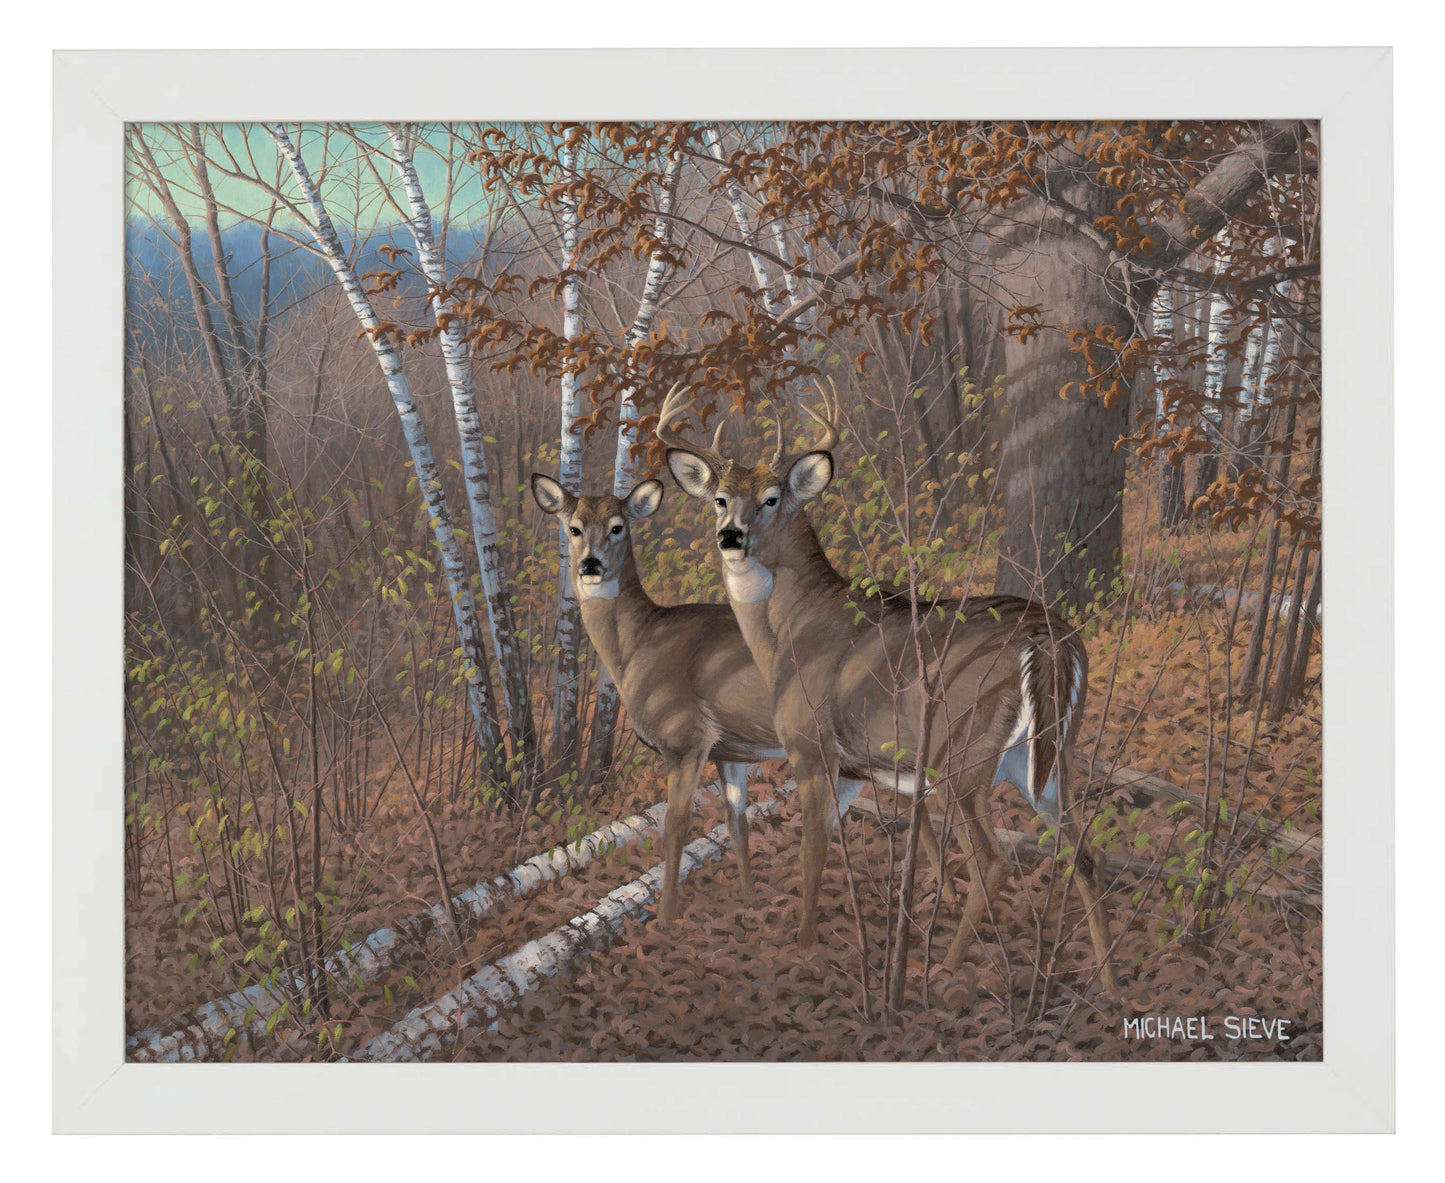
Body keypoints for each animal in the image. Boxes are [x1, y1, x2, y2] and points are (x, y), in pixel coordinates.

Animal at [530, 469, 961, 928]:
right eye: (573, 528)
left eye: (617, 526)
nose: (590, 564)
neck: (636, 645)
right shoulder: (729, 750)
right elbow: (736, 822)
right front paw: (751, 902)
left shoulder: (686, 736)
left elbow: (675, 826)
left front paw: (665, 920)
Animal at [658, 383, 1116, 994]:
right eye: (719, 498)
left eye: (773, 498)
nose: (731, 536)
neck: (790, 633)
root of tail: (1052, 642)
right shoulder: (861, 768)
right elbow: (873, 846)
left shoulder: (811, 746)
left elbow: (812, 851)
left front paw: (804, 946)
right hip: (1048, 758)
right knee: (1088, 855)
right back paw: (1108, 984)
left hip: (962, 753)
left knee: (995, 861)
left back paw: (943, 973)